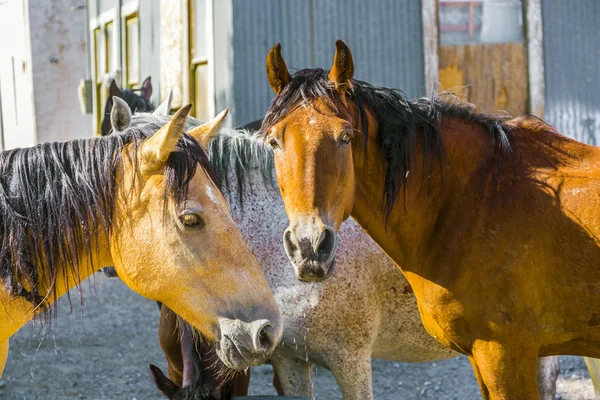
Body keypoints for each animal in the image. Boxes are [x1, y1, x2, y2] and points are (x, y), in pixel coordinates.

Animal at [264, 39, 600, 396]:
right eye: (273, 141)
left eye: (345, 137)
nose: (309, 247)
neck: (477, 197)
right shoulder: (481, 357)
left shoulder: (504, 354)